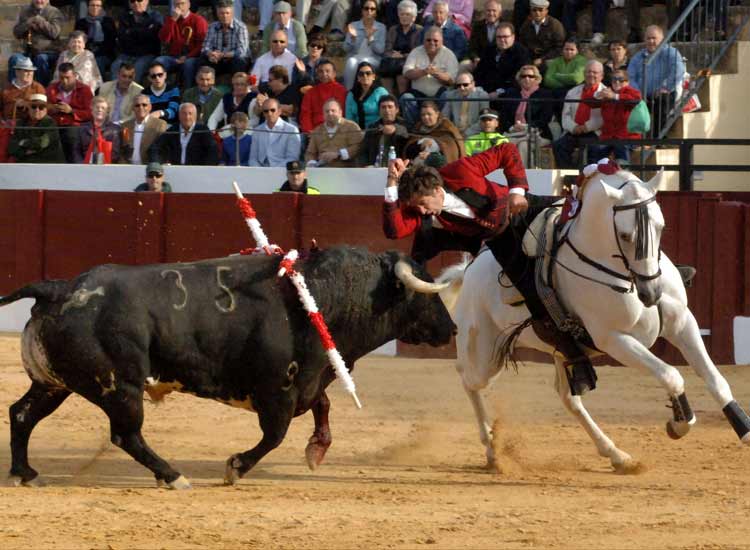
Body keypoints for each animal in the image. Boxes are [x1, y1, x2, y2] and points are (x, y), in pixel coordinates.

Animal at [0, 248, 456, 490]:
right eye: (425, 294)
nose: (451, 329)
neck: (321, 296)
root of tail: (60, 288)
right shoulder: (277, 391)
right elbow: (274, 436)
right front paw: (235, 467)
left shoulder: (307, 382)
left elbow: (323, 406)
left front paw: (316, 451)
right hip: (120, 386)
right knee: (125, 434)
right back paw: (172, 476)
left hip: (55, 383)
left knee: (21, 414)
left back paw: (25, 473)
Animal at [434, 167, 750, 474]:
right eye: (625, 235)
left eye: (661, 227)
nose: (651, 294)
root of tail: (469, 270)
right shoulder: (614, 339)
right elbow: (671, 375)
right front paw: (679, 423)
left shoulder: (683, 322)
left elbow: (716, 380)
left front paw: (744, 429)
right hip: (485, 355)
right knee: (468, 379)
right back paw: (491, 449)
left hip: (563, 352)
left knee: (569, 399)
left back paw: (617, 456)